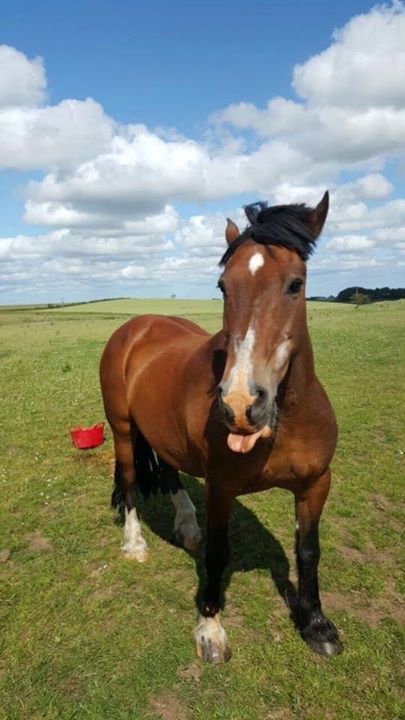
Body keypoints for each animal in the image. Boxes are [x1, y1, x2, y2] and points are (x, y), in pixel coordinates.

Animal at [100, 191, 343, 663]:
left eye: (296, 284)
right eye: (223, 287)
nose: (241, 404)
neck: (284, 422)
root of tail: (136, 326)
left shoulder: (315, 484)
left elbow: (308, 551)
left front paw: (316, 624)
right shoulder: (220, 487)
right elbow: (218, 554)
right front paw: (209, 628)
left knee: (169, 470)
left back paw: (187, 527)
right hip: (121, 430)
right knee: (132, 480)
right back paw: (135, 544)